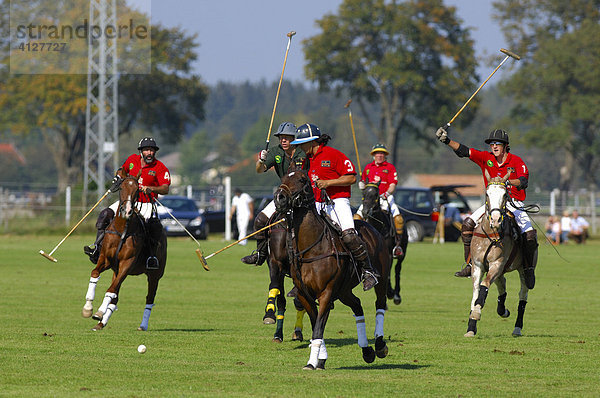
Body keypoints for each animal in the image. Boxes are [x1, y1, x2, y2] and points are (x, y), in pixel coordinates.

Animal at [81, 176, 168, 332]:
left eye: (137, 190)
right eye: (121, 187)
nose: (126, 210)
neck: (122, 230)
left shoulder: (127, 263)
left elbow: (111, 290)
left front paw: (98, 312)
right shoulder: (106, 259)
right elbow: (95, 273)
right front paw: (88, 308)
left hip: (154, 275)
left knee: (149, 298)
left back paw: (143, 325)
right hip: (116, 270)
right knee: (115, 295)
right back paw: (101, 324)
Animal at [274, 168, 392, 370]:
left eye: (302, 179)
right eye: (283, 178)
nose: (279, 197)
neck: (312, 246)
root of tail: (372, 228)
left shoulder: (326, 293)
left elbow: (318, 329)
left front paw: (312, 362)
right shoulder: (305, 295)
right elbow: (316, 326)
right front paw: (320, 360)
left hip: (381, 279)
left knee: (380, 304)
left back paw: (379, 345)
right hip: (344, 290)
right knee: (357, 305)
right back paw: (367, 351)